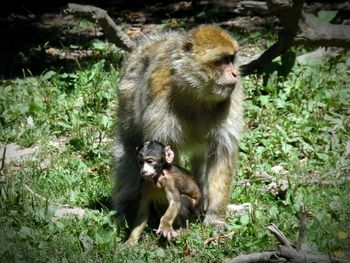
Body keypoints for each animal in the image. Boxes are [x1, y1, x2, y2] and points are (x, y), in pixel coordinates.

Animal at [114, 24, 243, 229]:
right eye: (221, 61)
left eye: (231, 59)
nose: (235, 73)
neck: (195, 94)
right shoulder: (160, 95)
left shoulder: (230, 100)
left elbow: (221, 153)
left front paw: (215, 217)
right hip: (127, 95)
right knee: (128, 149)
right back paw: (125, 209)